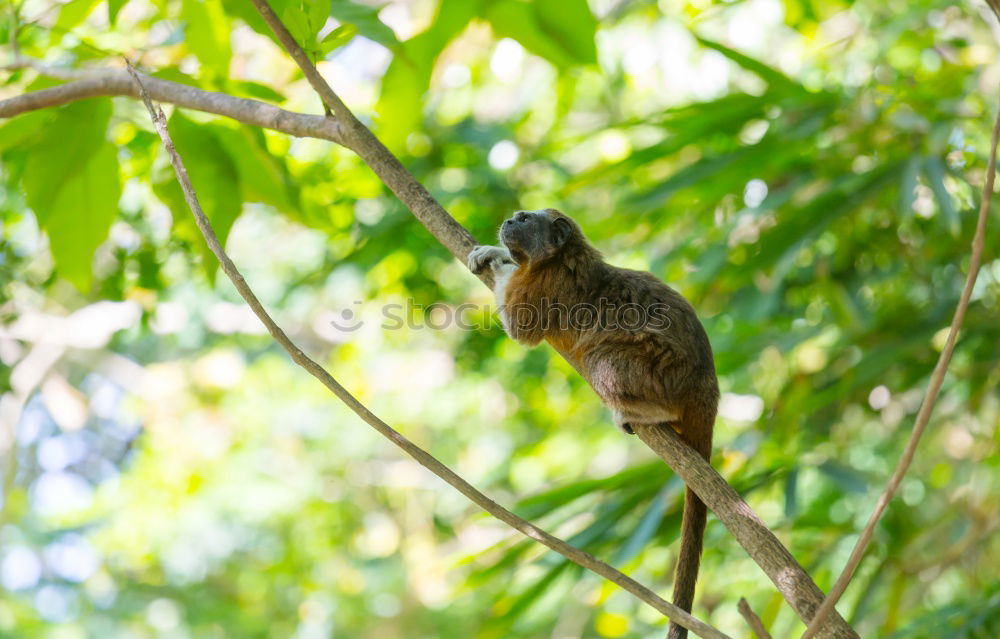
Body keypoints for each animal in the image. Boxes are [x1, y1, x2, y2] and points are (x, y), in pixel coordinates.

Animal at [468, 208, 720, 636]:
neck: (558, 258)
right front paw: (494, 253)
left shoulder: (546, 285)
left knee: (604, 360)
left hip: (662, 374)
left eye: (525, 219)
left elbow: (521, 329)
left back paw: (649, 412)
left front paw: (500, 266)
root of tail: (706, 388)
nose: (510, 220)